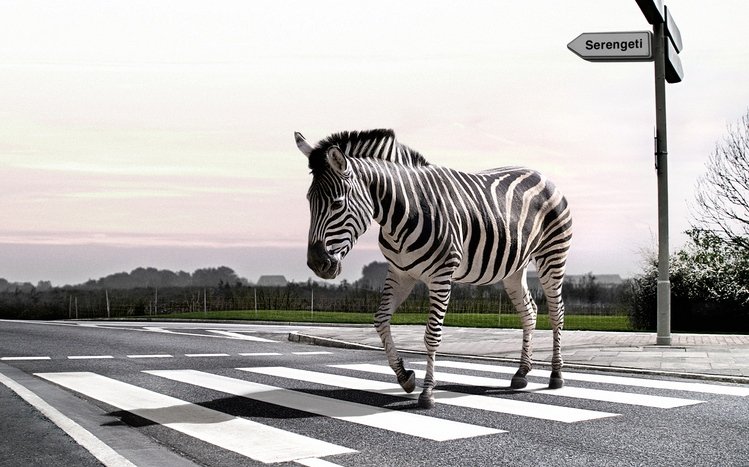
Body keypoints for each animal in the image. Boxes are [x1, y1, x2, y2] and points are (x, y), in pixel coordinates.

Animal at [295, 129, 572, 409]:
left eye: (337, 204)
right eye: (308, 201)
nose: (316, 263)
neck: (403, 213)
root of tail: (541, 175)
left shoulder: (441, 276)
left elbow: (432, 335)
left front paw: (427, 392)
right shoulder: (400, 273)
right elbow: (381, 320)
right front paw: (405, 376)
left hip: (552, 255)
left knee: (556, 312)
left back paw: (556, 375)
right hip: (514, 268)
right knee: (529, 311)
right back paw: (521, 373)